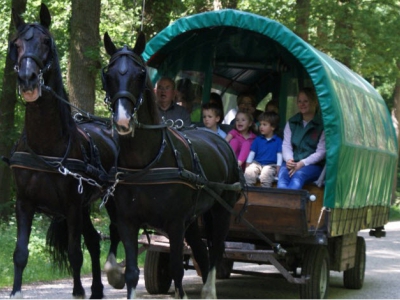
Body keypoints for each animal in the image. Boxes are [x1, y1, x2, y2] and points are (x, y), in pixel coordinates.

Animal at [7, 4, 120, 298]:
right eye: (16, 44)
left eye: (46, 42)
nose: (27, 79)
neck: (46, 146)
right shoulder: (24, 203)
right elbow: (20, 253)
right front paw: (15, 291)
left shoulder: (70, 206)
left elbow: (73, 253)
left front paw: (78, 290)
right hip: (84, 207)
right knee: (93, 240)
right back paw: (97, 288)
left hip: (108, 201)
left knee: (113, 234)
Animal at [101, 31, 242, 298]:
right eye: (108, 74)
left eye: (140, 74)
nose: (123, 121)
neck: (146, 165)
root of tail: (218, 139)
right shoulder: (127, 222)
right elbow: (130, 272)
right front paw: (117, 277)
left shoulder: (175, 224)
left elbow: (177, 269)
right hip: (194, 219)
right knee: (201, 250)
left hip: (222, 211)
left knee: (216, 250)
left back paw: (209, 290)